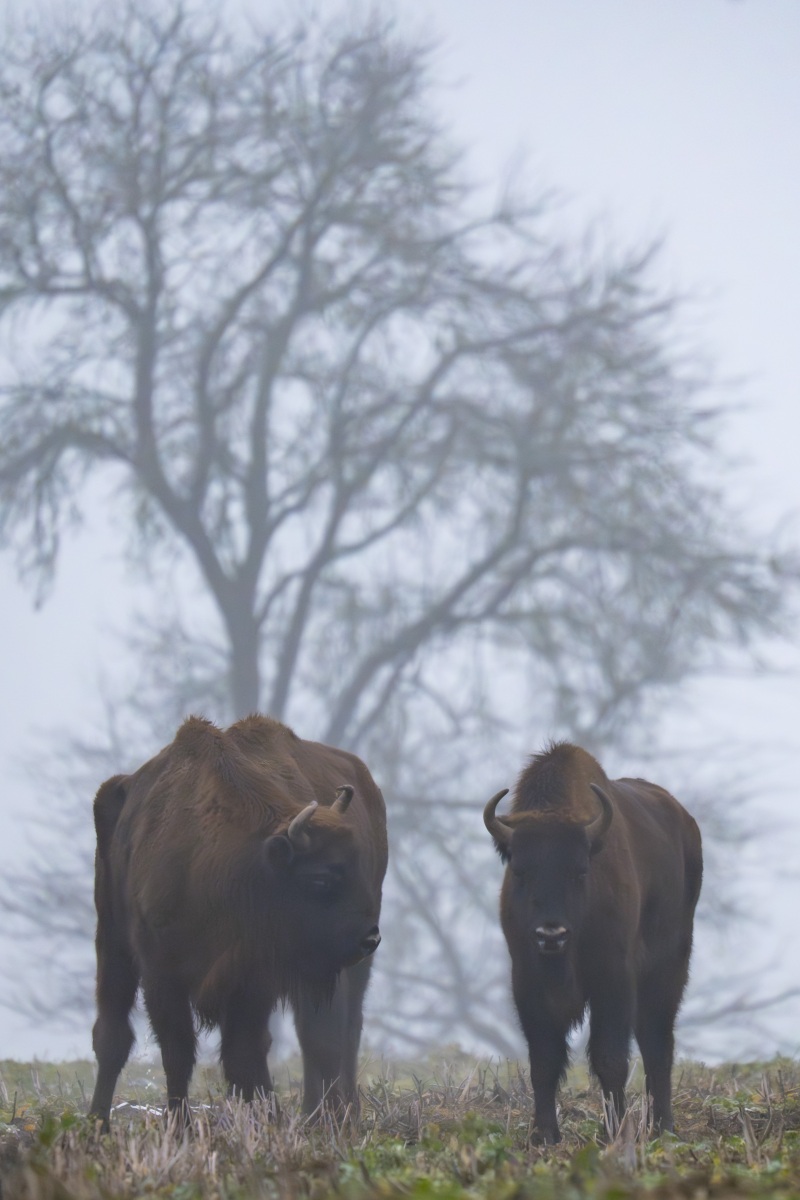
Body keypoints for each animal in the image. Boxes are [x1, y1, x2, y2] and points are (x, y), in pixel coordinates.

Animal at [88, 714, 388, 1128]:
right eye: (320, 879)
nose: (370, 938)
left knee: (338, 1033)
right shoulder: (161, 972)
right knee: (112, 1034)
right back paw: (97, 1124)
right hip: (112, 936)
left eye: (359, 865)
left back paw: (332, 1114)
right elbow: (179, 1051)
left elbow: (245, 1052)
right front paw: (181, 1128)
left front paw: (269, 1120)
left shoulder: (253, 979)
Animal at [483, 742, 702, 1144]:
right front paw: (544, 1135)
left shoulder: (613, 980)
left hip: (669, 969)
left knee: (657, 1042)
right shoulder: (526, 983)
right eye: (520, 871)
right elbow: (544, 1059)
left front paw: (613, 1132)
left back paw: (662, 1127)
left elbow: (609, 1057)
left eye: (580, 871)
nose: (551, 934)